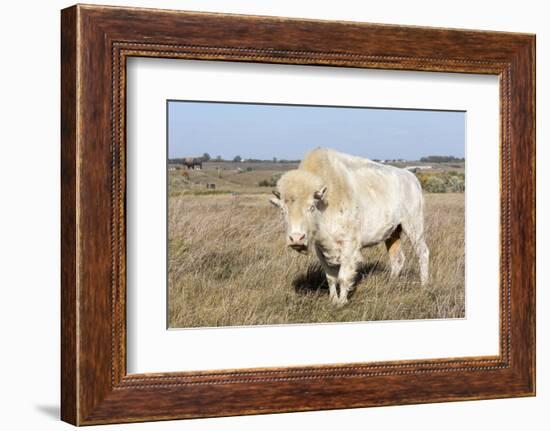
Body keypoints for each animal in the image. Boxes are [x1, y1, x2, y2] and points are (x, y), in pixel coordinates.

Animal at [272, 148, 432, 308]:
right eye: (283, 210)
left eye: (311, 207)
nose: (296, 238)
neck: (326, 201)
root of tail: (411, 178)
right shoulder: (321, 248)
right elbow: (330, 277)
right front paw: (333, 300)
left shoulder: (349, 246)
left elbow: (343, 276)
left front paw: (342, 302)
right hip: (393, 232)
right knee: (397, 259)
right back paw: (390, 285)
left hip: (414, 226)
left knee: (422, 252)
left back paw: (424, 285)